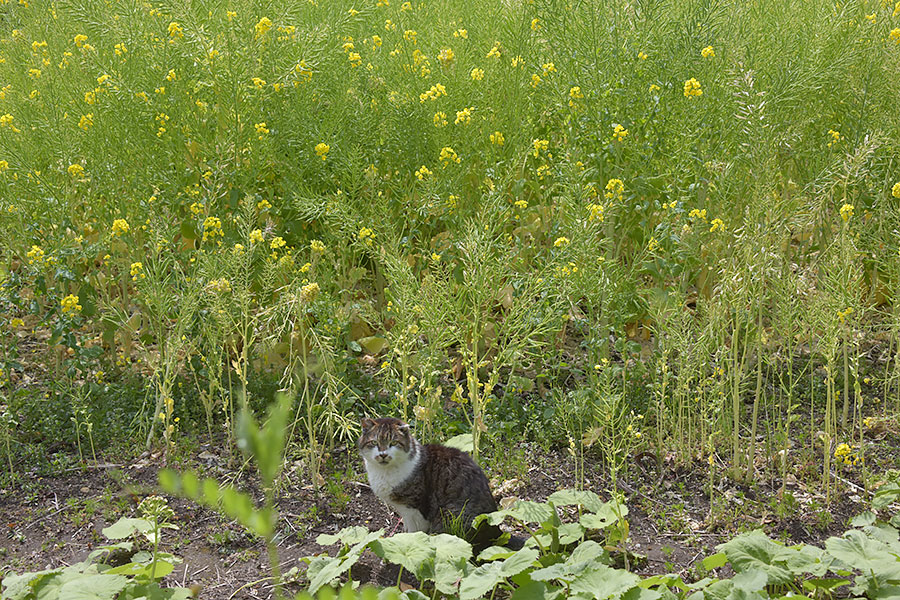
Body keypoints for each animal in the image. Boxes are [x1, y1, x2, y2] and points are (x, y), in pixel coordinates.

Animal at [358, 418, 512, 548]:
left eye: (394, 443)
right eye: (374, 443)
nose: (383, 454)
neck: (384, 472)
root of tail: (496, 532)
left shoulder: (414, 508)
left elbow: (415, 532)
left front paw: (408, 541)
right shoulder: (404, 511)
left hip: (451, 516)